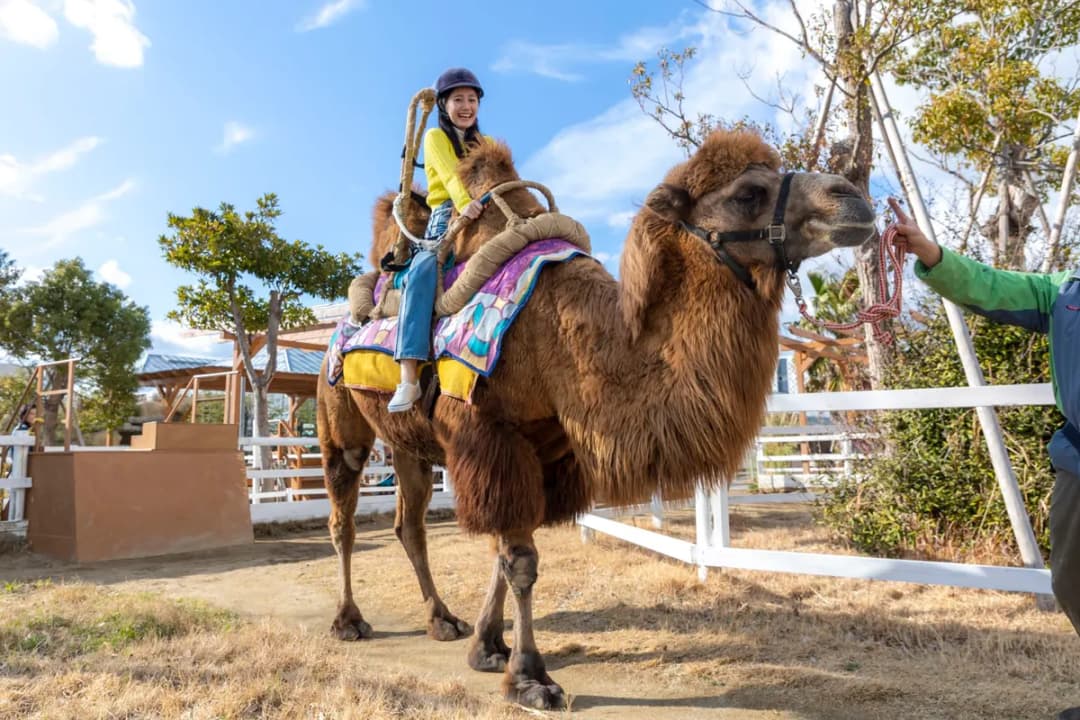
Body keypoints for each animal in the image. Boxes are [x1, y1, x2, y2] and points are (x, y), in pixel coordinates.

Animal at [316, 129, 876, 709]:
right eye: (749, 193)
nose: (853, 199)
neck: (572, 340)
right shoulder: (492, 434)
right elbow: (519, 561)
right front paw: (530, 678)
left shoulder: (546, 449)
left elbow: (502, 554)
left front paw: (488, 648)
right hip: (339, 420)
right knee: (343, 516)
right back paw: (349, 620)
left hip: (411, 447)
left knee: (411, 524)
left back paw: (442, 619)